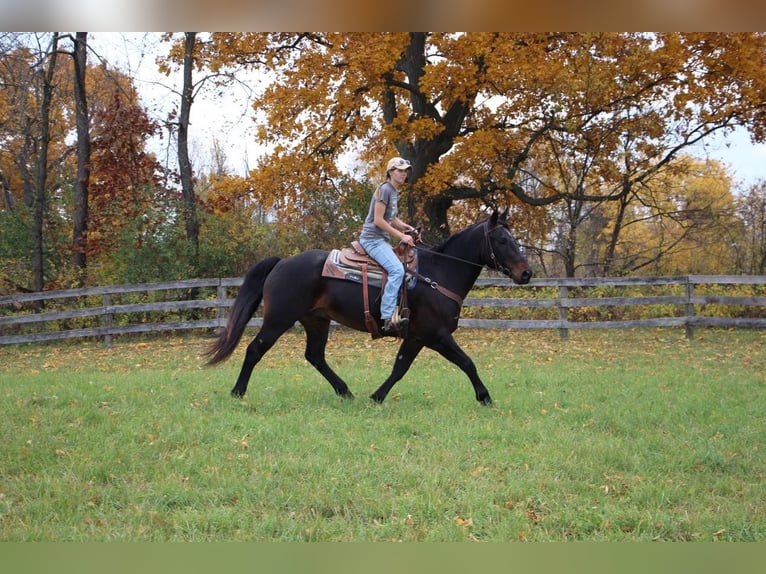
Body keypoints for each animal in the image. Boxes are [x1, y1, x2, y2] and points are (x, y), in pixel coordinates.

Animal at [210, 209, 536, 408]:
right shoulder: (438, 335)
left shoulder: (416, 337)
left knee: (315, 356)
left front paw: (377, 396)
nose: (526, 273)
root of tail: (281, 263)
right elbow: (468, 363)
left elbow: (400, 367)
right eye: (501, 239)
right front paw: (485, 397)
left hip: (316, 321)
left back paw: (345, 391)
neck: (438, 275)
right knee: (255, 349)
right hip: (279, 319)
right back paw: (238, 392)